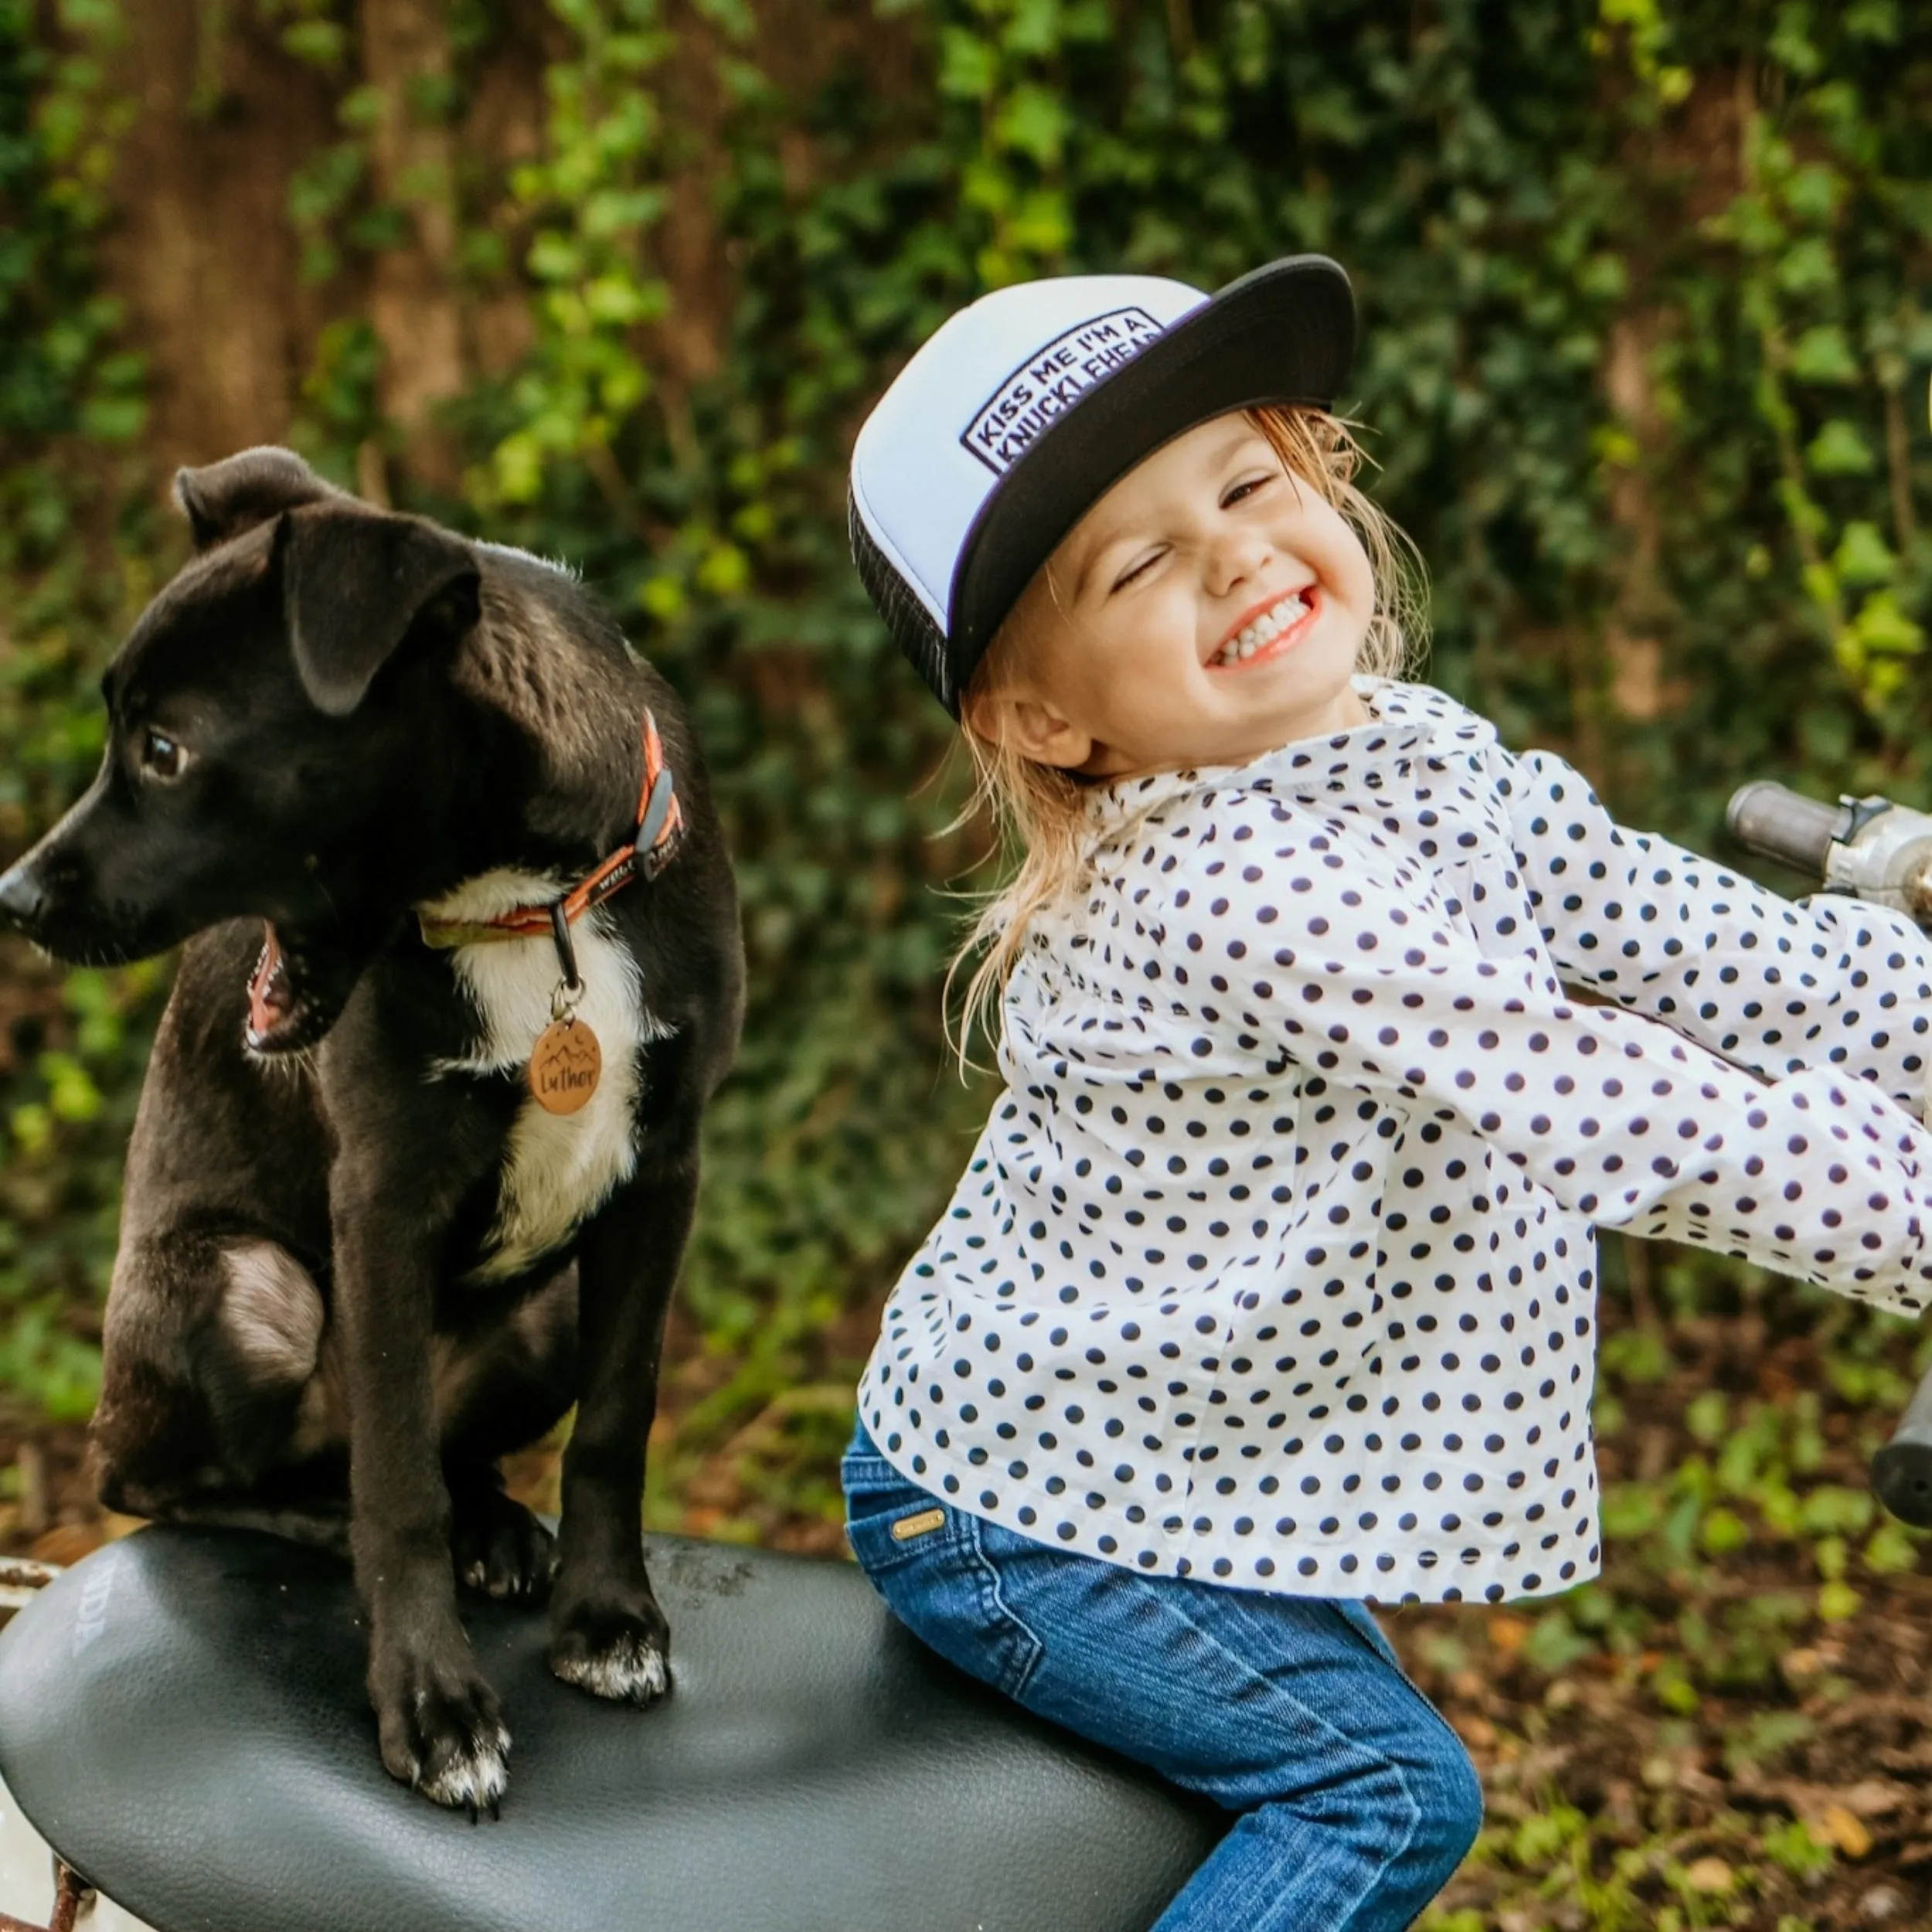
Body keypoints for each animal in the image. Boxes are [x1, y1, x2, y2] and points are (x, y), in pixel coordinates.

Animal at [0, 452, 746, 1808]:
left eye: (166, 749)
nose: (13, 897)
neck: (532, 902)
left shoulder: (665, 1171)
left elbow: (616, 1423)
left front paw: (607, 1620)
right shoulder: (385, 1200)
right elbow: (395, 1491)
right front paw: (434, 1706)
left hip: (547, 1309)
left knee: (453, 1450)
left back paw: (494, 1525)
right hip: (244, 1287)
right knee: (169, 1483)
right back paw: (326, 1516)